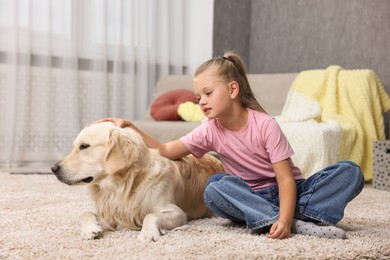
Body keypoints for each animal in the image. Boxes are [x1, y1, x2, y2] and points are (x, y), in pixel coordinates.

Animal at [51, 122, 222, 242]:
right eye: (75, 146)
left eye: (85, 146)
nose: (53, 168)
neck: (122, 185)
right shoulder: (113, 214)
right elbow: (86, 213)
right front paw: (90, 230)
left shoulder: (177, 213)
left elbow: (150, 215)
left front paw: (147, 234)